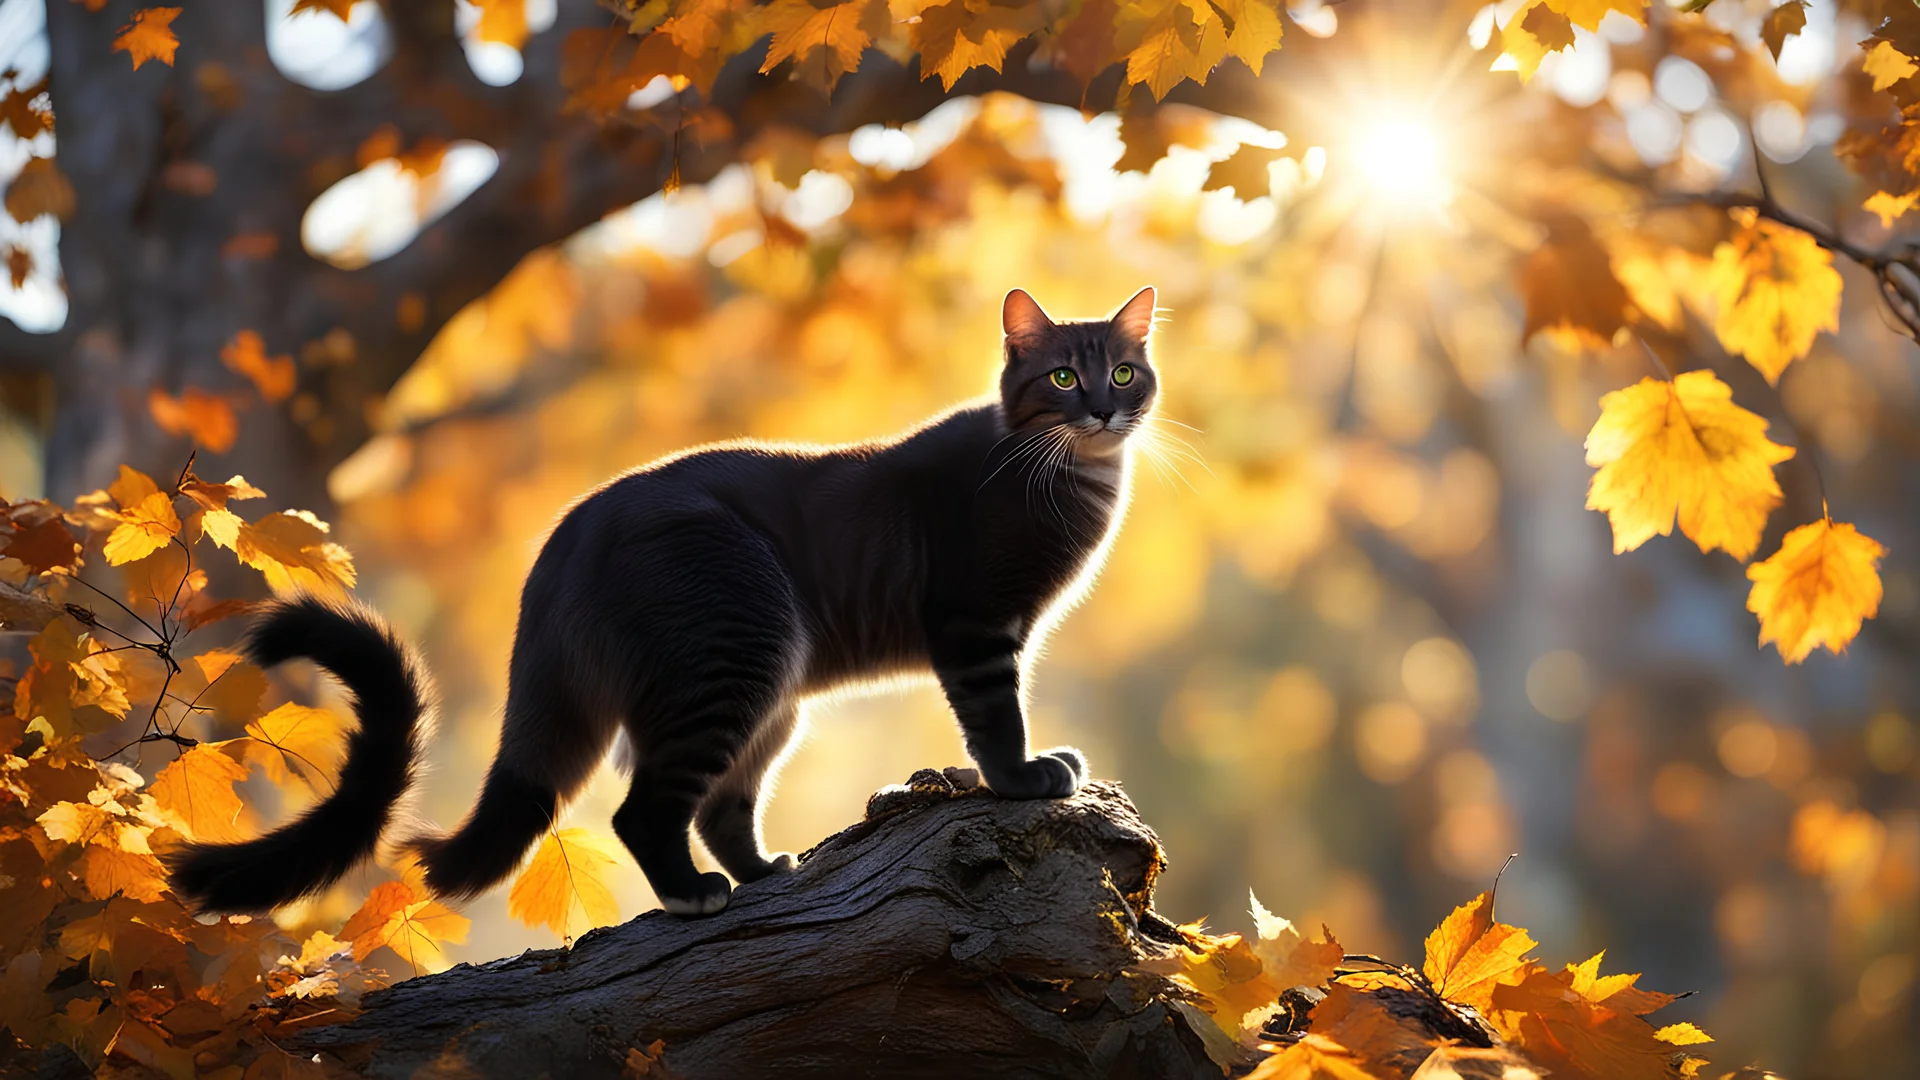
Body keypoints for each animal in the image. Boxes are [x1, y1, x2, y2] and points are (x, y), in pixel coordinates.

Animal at [168, 282, 1152, 910]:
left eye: (1124, 372)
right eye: (1063, 376)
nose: (1104, 407)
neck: (1074, 477)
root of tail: (566, 538)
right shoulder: (977, 627)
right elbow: (996, 719)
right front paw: (1022, 782)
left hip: (770, 698)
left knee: (717, 807)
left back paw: (761, 872)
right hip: (734, 656)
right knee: (644, 810)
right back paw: (692, 896)